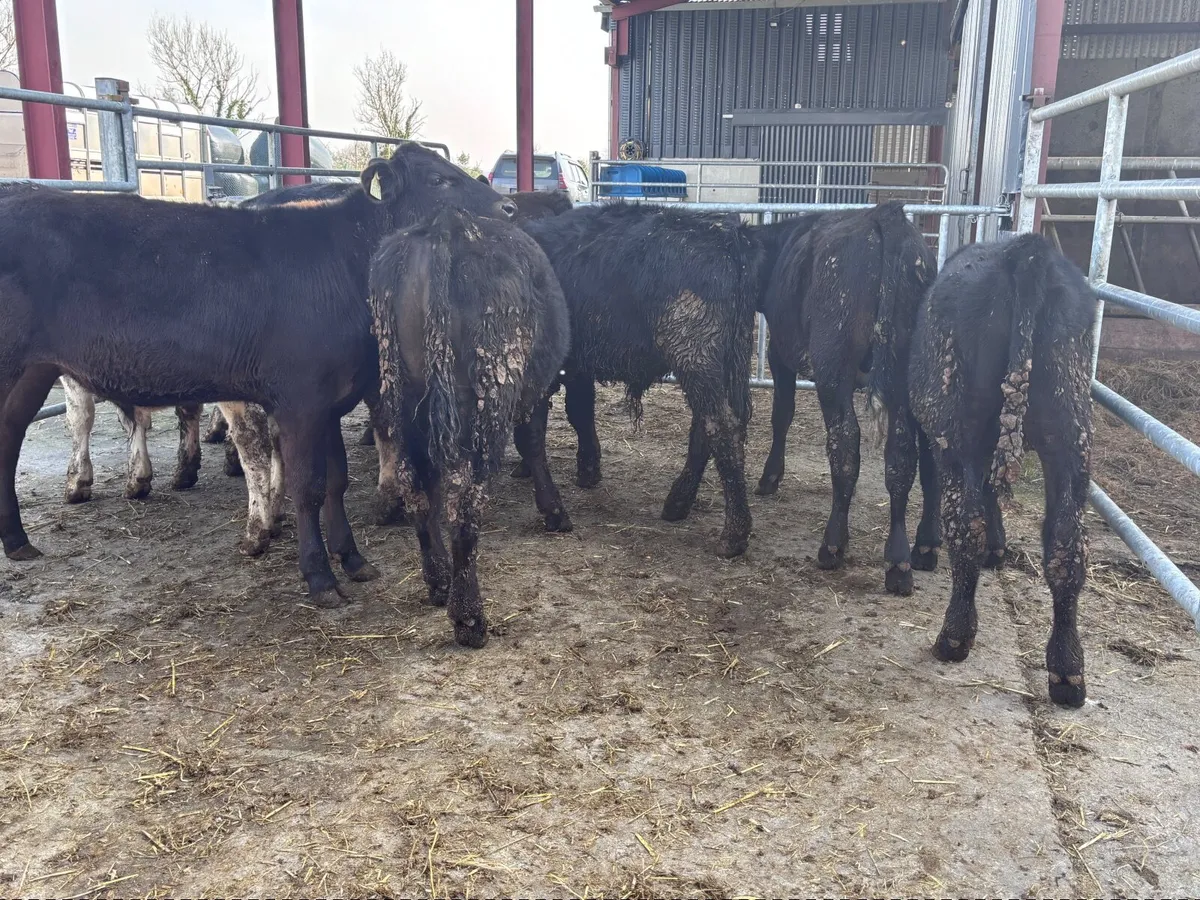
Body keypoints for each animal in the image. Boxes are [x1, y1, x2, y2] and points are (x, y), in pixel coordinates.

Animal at [0, 145, 516, 609]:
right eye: (439, 180)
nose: (509, 208)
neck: (343, 264)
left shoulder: (328, 400)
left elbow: (336, 480)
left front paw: (352, 559)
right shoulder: (300, 399)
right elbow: (308, 486)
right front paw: (320, 577)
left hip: (33, 371)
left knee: (9, 433)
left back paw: (17, 540)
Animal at [370, 208, 571, 647]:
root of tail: (445, 226)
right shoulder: (535, 391)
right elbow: (532, 443)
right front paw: (554, 511)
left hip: (404, 397)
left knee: (417, 487)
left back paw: (438, 581)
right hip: (485, 405)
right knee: (464, 504)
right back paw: (469, 618)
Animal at [513, 203, 764, 558]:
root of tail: (726, 234)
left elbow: (531, 436)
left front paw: (553, 509)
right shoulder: (574, 367)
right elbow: (579, 412)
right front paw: (587, 471)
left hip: (695, 351)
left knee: (721, 427)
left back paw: (734, 533)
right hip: (728, 353)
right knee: (712, 425)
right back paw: (678, 502)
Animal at [754, 201, 937, 595]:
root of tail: (886, 214)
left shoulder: (780, 352)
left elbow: (782, 413)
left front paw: (769, 477)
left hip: (833, 369)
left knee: (845, 443)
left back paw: (834, 545)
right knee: (913, 454)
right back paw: (912, 554)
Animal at [908, 233, 1094, 708]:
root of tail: (1026, 251)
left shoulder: (932, 431)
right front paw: (999, 549)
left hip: (957, 427)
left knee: (965, 523)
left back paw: (954, 637)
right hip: (1071, 434)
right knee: (1068, 542)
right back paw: (1067, 672)